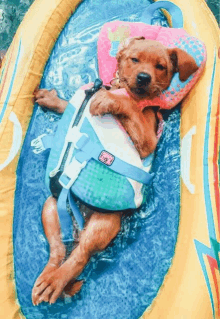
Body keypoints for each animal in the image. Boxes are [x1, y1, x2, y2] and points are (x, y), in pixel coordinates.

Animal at [31, 37, 199, 304]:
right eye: (134, 59)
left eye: (161, 66)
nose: (143, 77)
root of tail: (81, 219)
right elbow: (70, 104)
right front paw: (52, 100)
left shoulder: (148, 139)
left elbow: (128, 105)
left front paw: (109, 100)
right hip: (51, 206)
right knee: (57, 251)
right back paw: (47, 279)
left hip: (105, 223)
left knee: (80, 255)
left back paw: (55, 282)